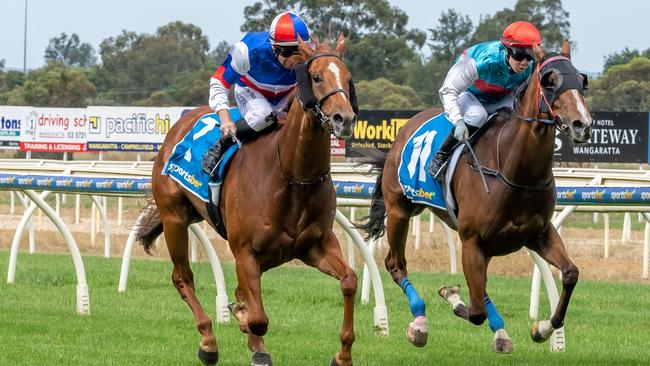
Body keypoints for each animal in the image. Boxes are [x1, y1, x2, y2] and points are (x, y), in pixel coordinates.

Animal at [134, 35, 356, 366]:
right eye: (316, 77)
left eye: (348, 77)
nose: (345, 118)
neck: (292, 176)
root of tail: (181, 123)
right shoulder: (245, 251)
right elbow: (258, 317)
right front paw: (242, 321)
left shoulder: (315, 245)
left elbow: (349, 280)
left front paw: (342, 354)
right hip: (174, 217)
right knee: (182, 277)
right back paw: (208, 341)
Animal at [356, 40, 588, 352]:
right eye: (549, 81)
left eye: (581, 80)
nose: (581, 124)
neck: (514, 169)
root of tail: (405, 128)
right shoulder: (471, 240)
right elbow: (475, 311)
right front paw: (452, 297)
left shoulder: (538, 233)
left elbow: (570, 273)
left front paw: (542, 328)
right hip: (400, 211)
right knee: (396, 264)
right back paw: (419, 322)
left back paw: (500, 332)